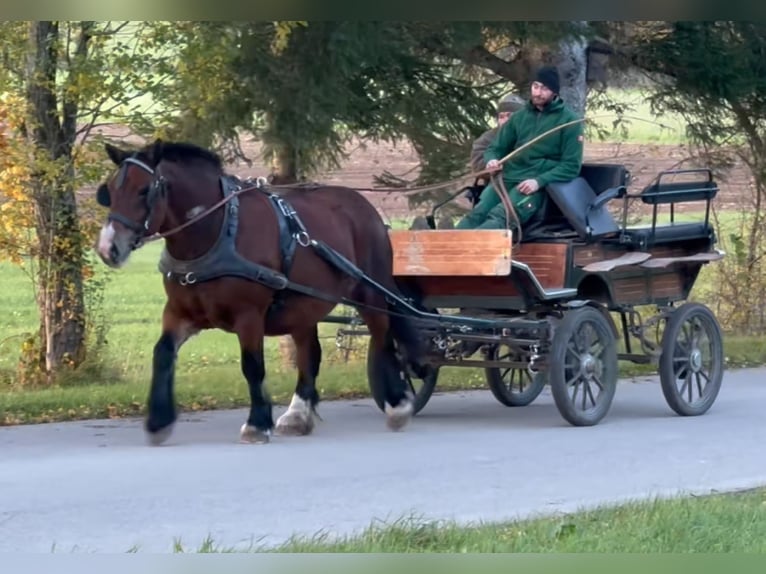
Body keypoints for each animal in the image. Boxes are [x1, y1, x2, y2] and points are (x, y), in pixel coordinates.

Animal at [94, 138, 426, 445]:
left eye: (143, 190)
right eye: (109, 190)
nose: (108, 248)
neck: (217, 232)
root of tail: (363, 205)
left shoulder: (249, 315)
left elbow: (252, 366)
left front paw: (257, 423)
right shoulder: (179, 311)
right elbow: (162, 353)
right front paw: (158, 421)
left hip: (370, 293)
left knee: (383, 339)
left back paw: (397, 403)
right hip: (304, 306)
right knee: (310, 354)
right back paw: (297, 415)